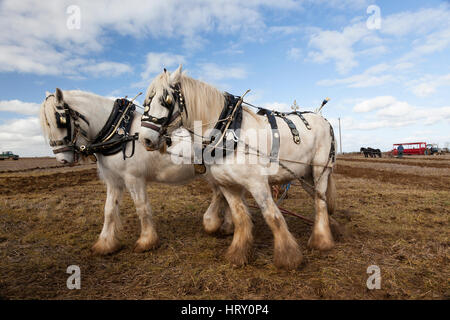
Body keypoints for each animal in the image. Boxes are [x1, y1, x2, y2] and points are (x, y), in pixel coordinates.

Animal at [39, 89, 232, 254]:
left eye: (60, 121)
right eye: (47, 124)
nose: (62, 159)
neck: (118, 133)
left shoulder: (134, 178)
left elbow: (142, 207)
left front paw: (147, 241)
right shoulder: (113, 181)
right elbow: (109, 210)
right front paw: (105, 243)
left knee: (222, 194)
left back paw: (214, 222)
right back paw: (227, 224)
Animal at [139, 65, 336, 270]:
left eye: (166, 100)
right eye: (145, 102)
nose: (145, 139)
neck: (228, 133)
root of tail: (324, 120)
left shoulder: (257, 183)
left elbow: (273, 216)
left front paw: (288, 257)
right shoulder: (228, 185)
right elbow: (240, 217)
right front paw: (238, 253)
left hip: (320, 170)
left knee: (320, 201)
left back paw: (321, 241)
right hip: (305, 176)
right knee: (318, 199)